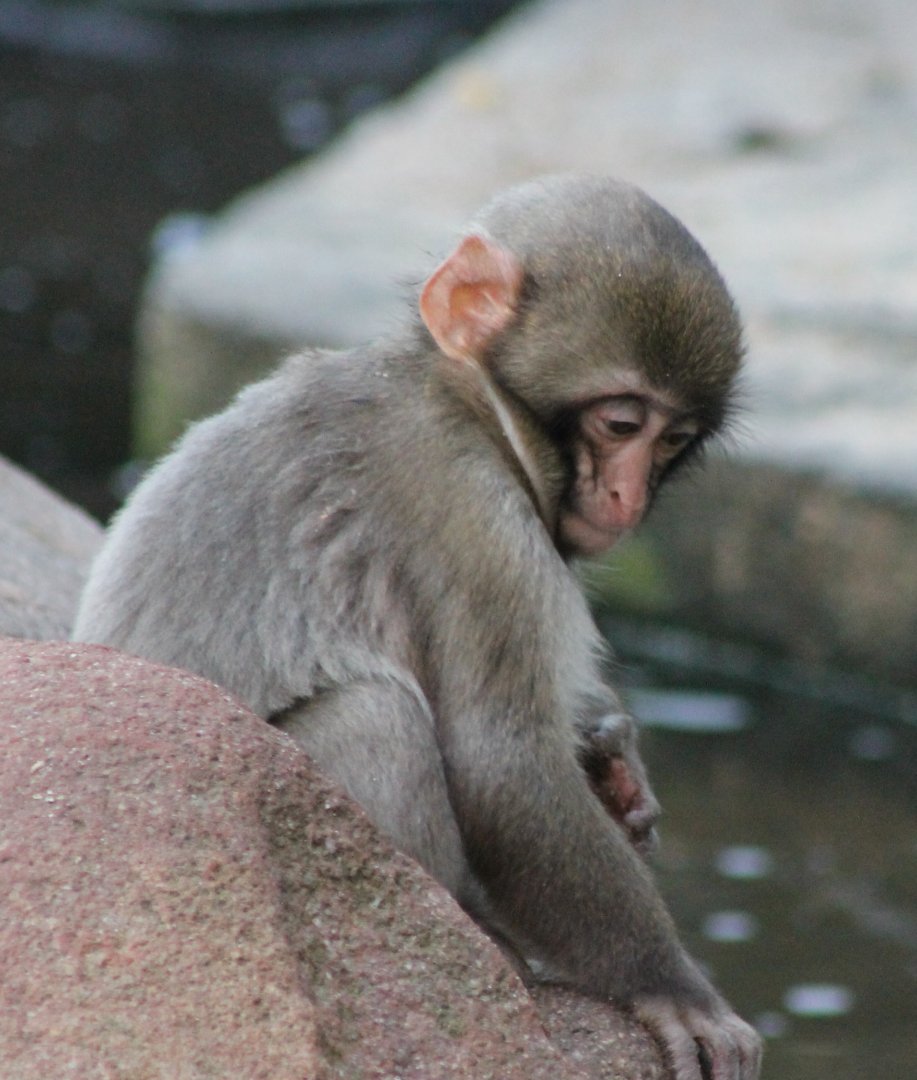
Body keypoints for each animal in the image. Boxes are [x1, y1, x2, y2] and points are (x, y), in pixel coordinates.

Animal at [73, 175, 762, 1080]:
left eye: (672, 439)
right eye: (621, 424)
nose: (627, 495)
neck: (468, 400)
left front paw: (622, 776)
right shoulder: (479, 519)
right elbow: (502, 765)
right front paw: (671, 988)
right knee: (377, 715)